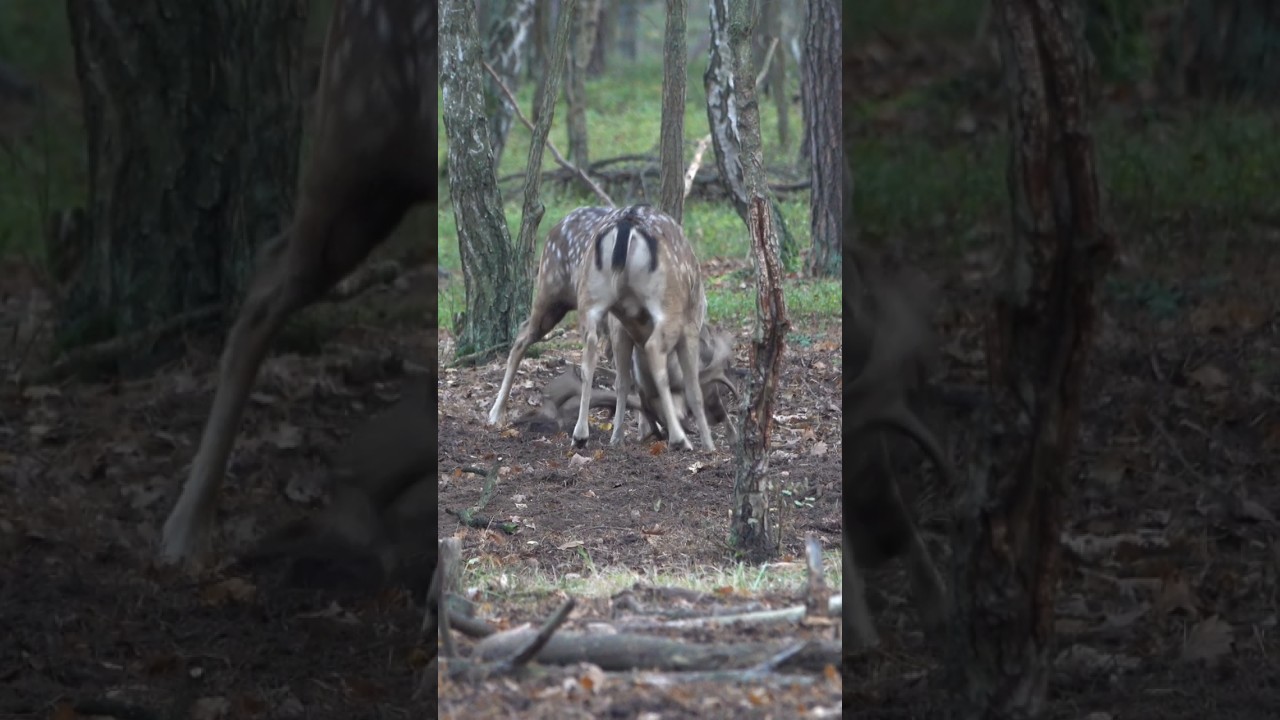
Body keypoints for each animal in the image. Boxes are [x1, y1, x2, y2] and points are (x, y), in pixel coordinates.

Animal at [571, 205, 715, 452]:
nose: (657, 429)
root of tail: (626, 225)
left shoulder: (620, 327)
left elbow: (623, 382)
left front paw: (617, 437)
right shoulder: (690, 326)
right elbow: (693, 389)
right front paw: (709, 444)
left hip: (590, 295)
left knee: (588, 354)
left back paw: (580, 435)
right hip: (668, 303)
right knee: (655, 349)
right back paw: (680, 439)